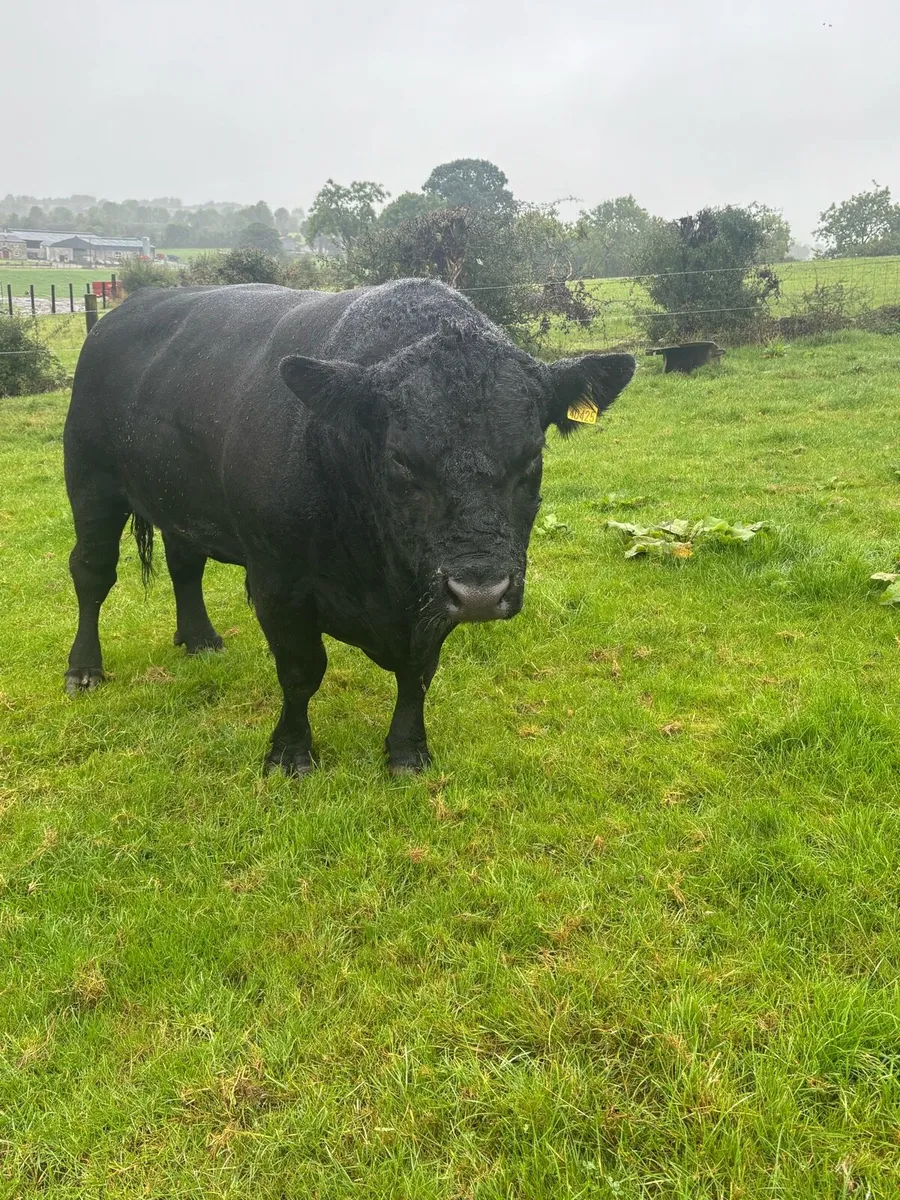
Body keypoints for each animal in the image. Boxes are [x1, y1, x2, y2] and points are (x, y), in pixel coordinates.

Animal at [63, 279, 635, 774]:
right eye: (401, 458)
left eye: (532, 453)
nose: (480, 591)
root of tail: (122, 313)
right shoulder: (278, 581)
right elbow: (300, 670)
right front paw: (289, 754)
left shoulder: (428, 590)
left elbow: (418, 672)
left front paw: (407, 752)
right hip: (91, 480)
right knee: (92, 573)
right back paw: (84, 669)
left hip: (180, 500)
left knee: (184, 562)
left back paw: (200, 638)